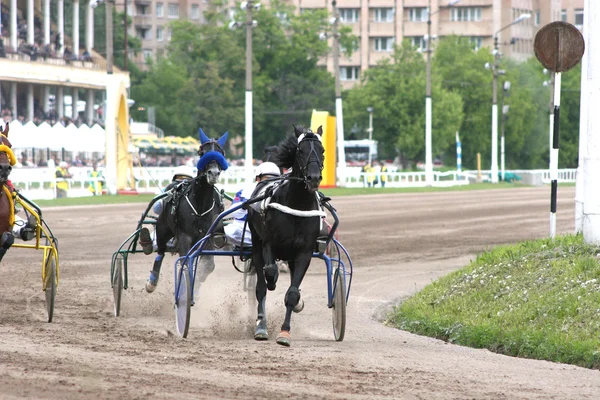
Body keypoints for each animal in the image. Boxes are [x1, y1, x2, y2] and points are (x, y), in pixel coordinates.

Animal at [146, 129, 230, 294]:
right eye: (202, 152)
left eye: (221, 152)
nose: (213, 173)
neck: (200, 206)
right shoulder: (184, 237)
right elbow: (185, 263)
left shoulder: (207, 239)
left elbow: (207, 266)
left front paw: (195, 286)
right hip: (162, 228)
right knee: (160, 250)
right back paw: (152, 282)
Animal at [247, 125, 326, 346]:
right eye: (300, 151)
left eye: (322, 150)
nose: (313, 178)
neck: (297, 205)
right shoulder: (269, 244)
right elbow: (269, 273)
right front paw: (272, 281)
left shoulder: (304, 253)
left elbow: (292, 293)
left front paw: (285, 332)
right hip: (256, 244)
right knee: (261, 286)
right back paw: (261, 325)